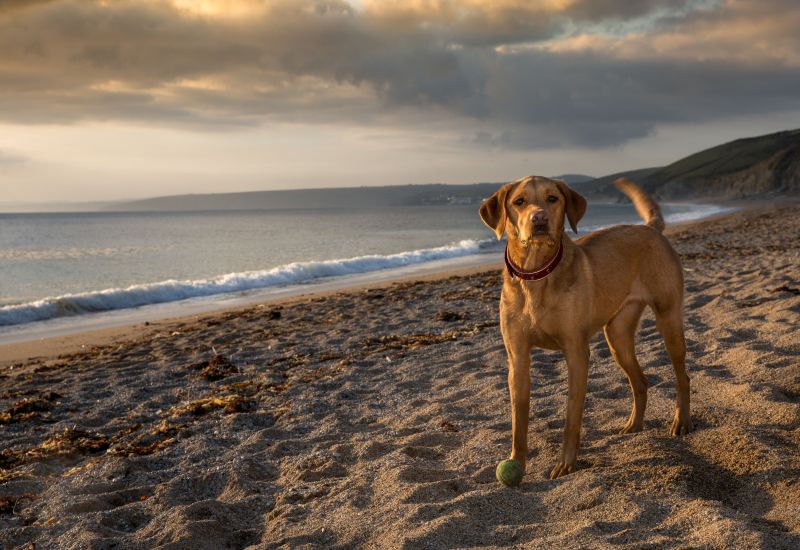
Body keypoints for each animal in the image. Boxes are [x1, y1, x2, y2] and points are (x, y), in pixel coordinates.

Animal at [478, 177, 692, 478]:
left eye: (552, 198)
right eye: (519, 201)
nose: (539, 218)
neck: (537, 275)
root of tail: (649, 228)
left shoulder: (576, 354)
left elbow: (572, 416)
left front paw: (566, 464)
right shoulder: (517, 358)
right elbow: (518, 422)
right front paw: (516, 463)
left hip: (668, 319)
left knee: (682, 376)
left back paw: (681, 420)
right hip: (617, 337)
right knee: (640, 381)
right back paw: (634, 425)